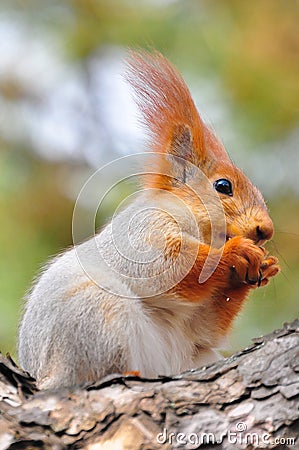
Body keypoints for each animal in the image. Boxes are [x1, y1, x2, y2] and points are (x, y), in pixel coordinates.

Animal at [19, 51, 282, 390]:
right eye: (223, 186)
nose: (266, 230)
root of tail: (47, 377)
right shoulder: (141, 233)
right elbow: (165, 266)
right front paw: (236, 252)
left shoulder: (197, 326)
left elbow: (205, 326)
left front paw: (265, 266)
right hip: (97, 318)